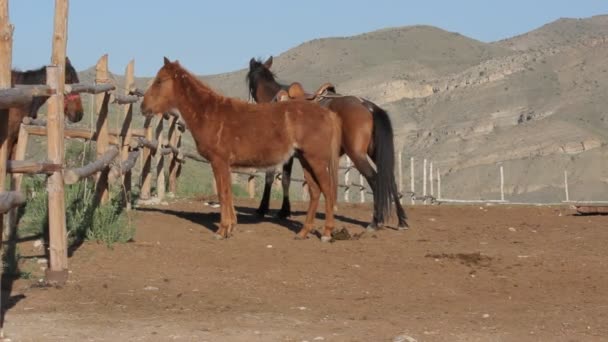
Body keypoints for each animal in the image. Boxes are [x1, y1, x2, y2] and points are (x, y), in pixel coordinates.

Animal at [141, 57, 342, 242]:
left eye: (160, 81)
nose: (143, 107)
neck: (210, 113)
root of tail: (327, 113)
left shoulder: (219, 162)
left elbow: (223, 193)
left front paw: (222, 230)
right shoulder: (225, 165)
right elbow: (228, 193)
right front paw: (230, 227)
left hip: (316, 160)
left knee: (327, 191)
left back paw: (326, 233)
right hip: (306, 160)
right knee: (315, 192)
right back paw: (303, 233)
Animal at [246, 56, 408, 230]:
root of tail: (367, 105)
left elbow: (272, 179)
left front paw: (263, 209)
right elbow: (286, 180)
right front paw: (284, 211)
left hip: (357, 155)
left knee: (375, 180)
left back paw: (375, 222)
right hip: (375, 153)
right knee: (389, 180)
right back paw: (402, 220)